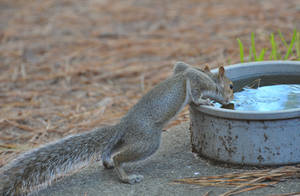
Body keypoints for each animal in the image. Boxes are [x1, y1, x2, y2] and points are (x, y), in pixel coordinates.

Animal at [0, 60, 233, 194]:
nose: (230, 98)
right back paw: (127, 177)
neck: (209, 78)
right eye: (231, 86)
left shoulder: (182, 68)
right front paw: (203, 101)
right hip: (148, 141)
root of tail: (123, 125)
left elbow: (181, 67)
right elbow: (192, 88)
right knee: (121, 157)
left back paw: (107, 163)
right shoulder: (193, 78)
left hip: (130, 140)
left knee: (110, 151)